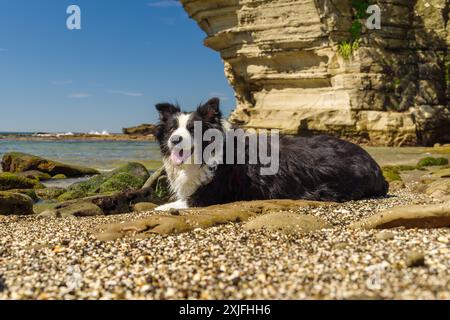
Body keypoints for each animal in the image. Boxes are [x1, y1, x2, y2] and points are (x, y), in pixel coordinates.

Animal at [154, 99, 386, 211]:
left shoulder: (207, 196)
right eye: (172, 129)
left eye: (193, 129)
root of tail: (374, 164)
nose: (174, 140)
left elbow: (162, 207)